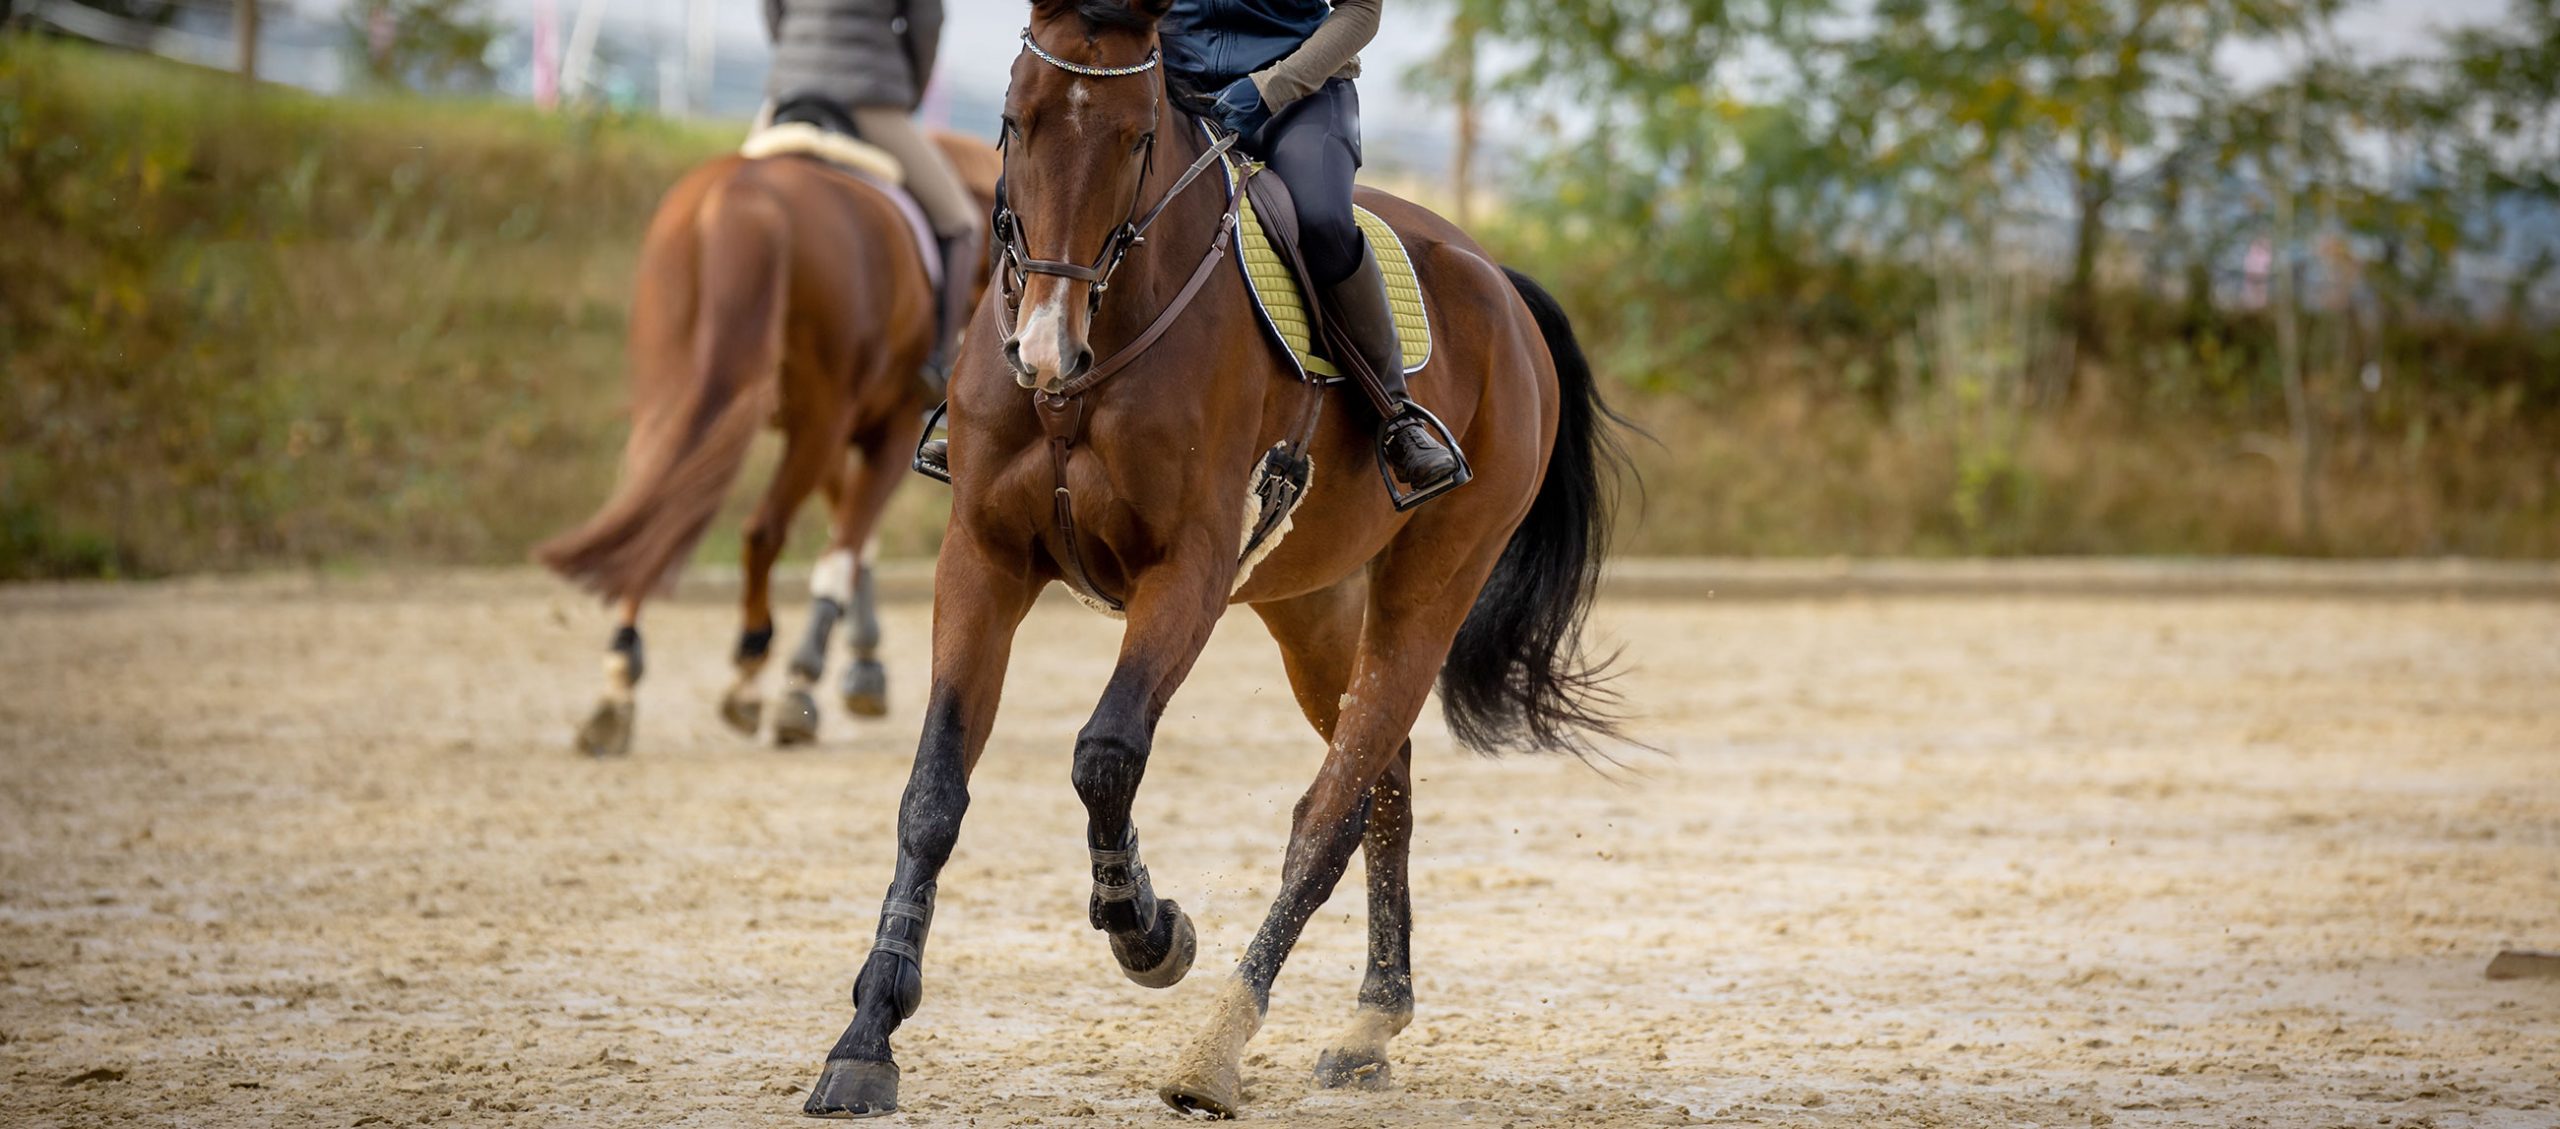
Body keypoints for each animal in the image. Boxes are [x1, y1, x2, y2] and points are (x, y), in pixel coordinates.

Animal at [537, 132, 1000, 757]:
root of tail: (737, 196)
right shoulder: (888, 425)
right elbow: (848, 540)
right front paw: (810, 681)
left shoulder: (835, 430)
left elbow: (851, 534)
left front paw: (863, 667)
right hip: (820, 414)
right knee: (762, 531)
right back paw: (756, 678)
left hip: (675, 396)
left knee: (652, 519)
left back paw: (618, 689)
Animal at [798, 0, 1630, 1118]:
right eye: (1014, 121)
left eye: (1138, 139)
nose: (1043, 349)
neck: (1094, 360)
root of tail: (1494, 277)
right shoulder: (982, 560)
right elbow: (932, 793)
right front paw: (865, 1038)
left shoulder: (1185, 572)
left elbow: (1105, 754)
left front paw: (1149, 929)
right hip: (1313, 607)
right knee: (1385, 786)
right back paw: (1370, 1020)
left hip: (1430, 586)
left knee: (1327, 813)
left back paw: (1216, 1050)